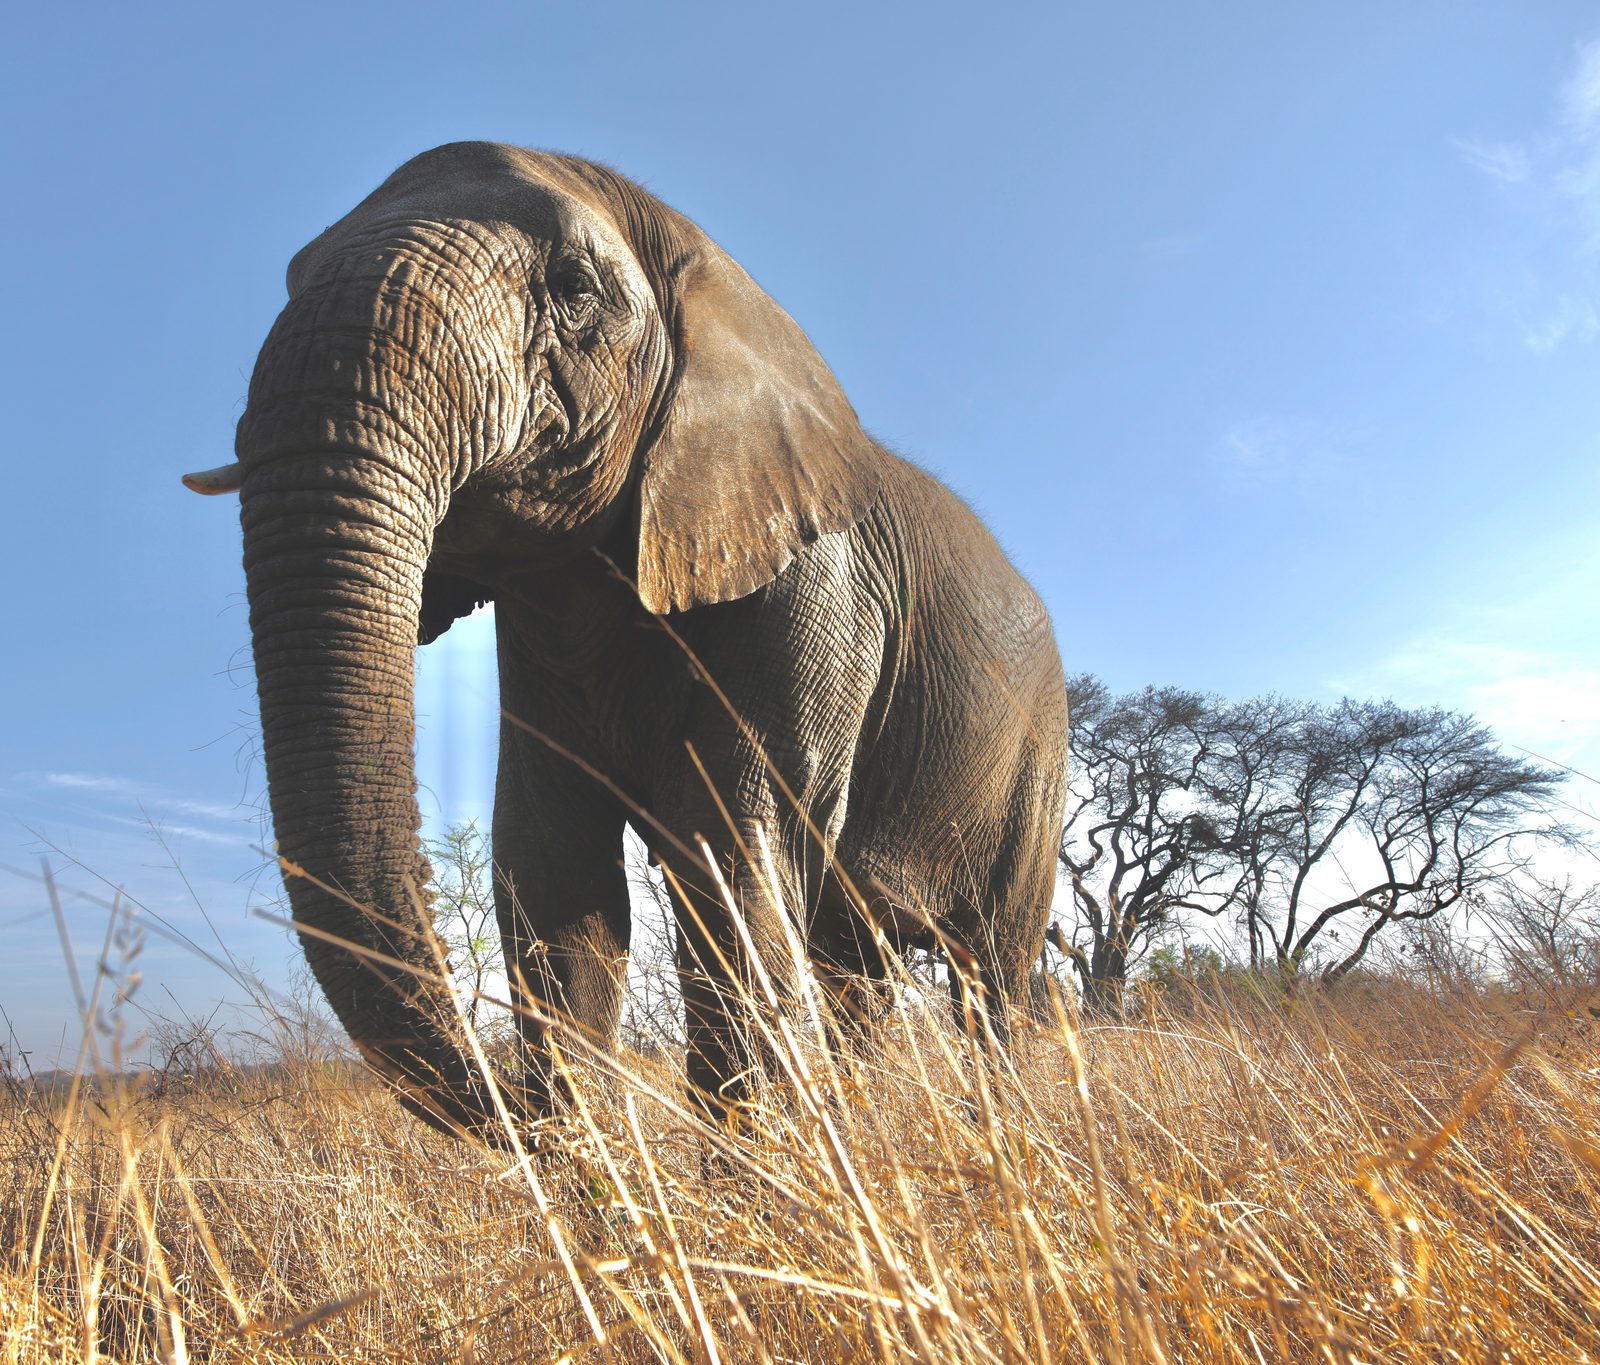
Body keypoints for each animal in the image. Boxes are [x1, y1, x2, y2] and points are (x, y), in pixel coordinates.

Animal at [185, 141, 1067, 1140]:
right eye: (291, 276)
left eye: (573, 287)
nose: (510, 1106)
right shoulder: (543, 619)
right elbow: (553, 867)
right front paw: (593, 1160)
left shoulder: (816, 587)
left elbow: (735, 851)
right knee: (856, 964)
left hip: (1038, 763)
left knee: (990, 972)